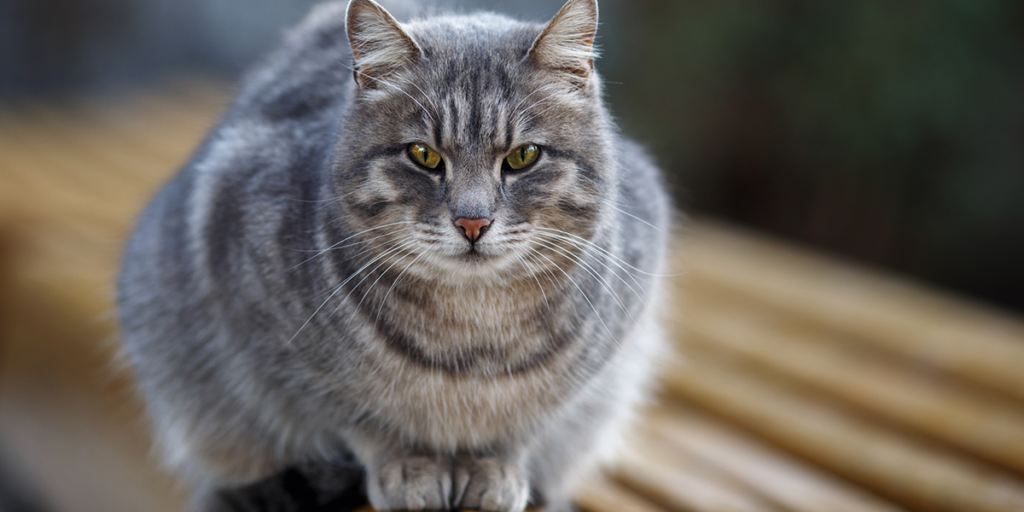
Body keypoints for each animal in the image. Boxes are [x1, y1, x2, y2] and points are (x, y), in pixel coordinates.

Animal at [117, 0, 671, 509]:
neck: (475, 329)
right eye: (423, 155)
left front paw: (493, 466)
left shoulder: (599, 360)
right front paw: (409, 465)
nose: (473, 222)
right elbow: (361, 415)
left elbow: (530, 419)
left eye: (523, 156)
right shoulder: (273, 345)